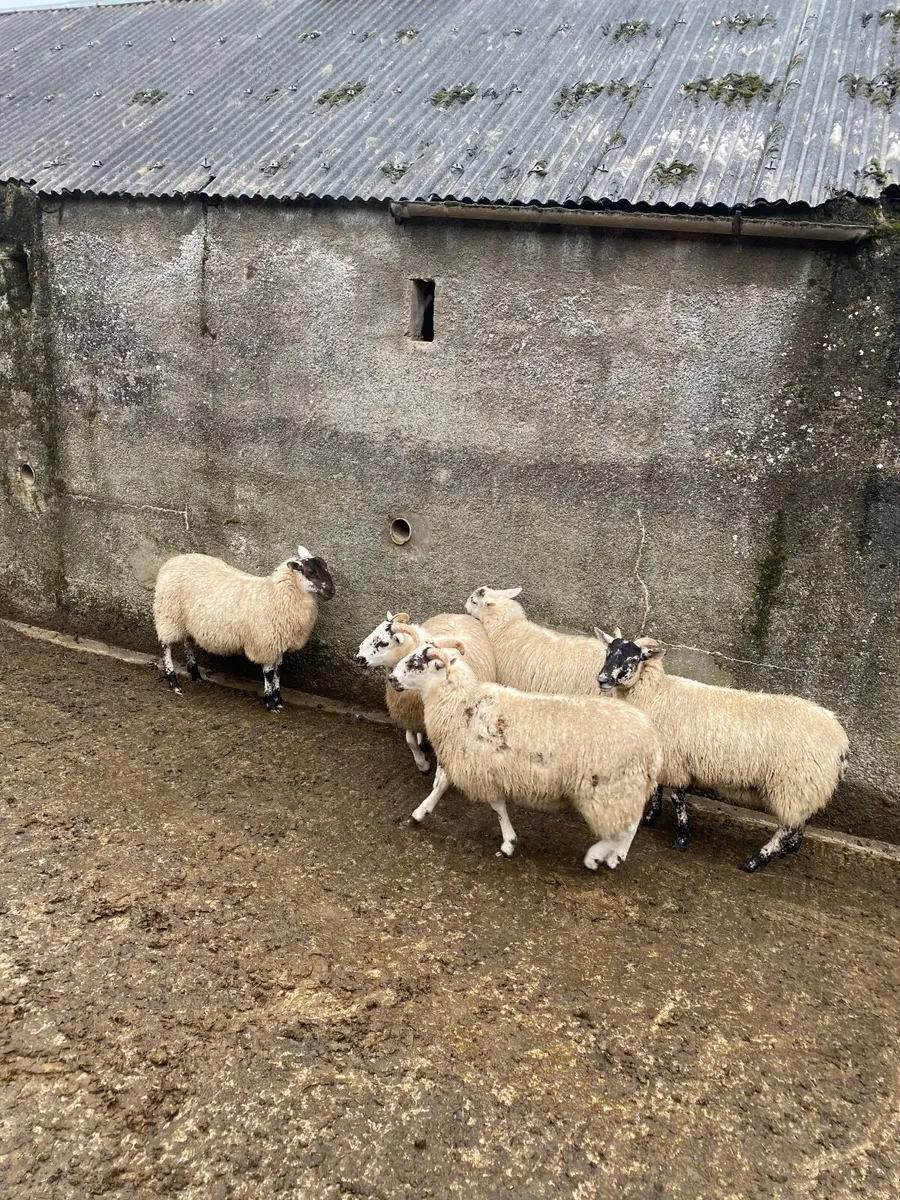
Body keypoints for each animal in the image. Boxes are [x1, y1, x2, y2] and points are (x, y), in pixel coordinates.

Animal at [153, 545, 334, 710]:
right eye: (310, 572)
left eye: (325, 567)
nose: (332, 591)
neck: (276, 594)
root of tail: (172, 561)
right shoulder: (265, 643)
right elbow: (269, 673)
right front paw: (270, 703)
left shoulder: (278, 643)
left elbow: (279, 671)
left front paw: (279, 700)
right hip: (168, 615)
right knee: (165, 646)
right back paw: (173, 682)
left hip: (184, 620)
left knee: (187, 641)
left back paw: (195, 673)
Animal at [354, 612, 496, 819]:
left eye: (383, 643)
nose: (357, 658)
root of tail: (457, 614)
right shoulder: (409, 715)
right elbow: (409, 740)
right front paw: (423, 764)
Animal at [387, 641, 662, 870]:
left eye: (414, 663)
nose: (391, 678)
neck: (460, 701)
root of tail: (652, 741)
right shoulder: (469, 759)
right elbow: (442, 785)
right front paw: (421, 812)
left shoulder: (481, 768)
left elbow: (497, 806)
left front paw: (508, 842)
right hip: (626, 787)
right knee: (630, 824)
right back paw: (616, 856)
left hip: (608, 789)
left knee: (620, 829)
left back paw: (596, 856)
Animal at [595, 629, 850, 872]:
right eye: (609, 651)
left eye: (633, 658)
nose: (602, 679)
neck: (655, 693)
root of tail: (841, 740)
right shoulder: (663, 757)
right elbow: (658, 789)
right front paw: (651, 817)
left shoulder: (675, 761)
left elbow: (677, 798)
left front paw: (682, 839)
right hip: (807, 786)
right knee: (799, 824)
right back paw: (789, 849)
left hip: (793, 785)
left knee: (787, 827)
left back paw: (756, 861)